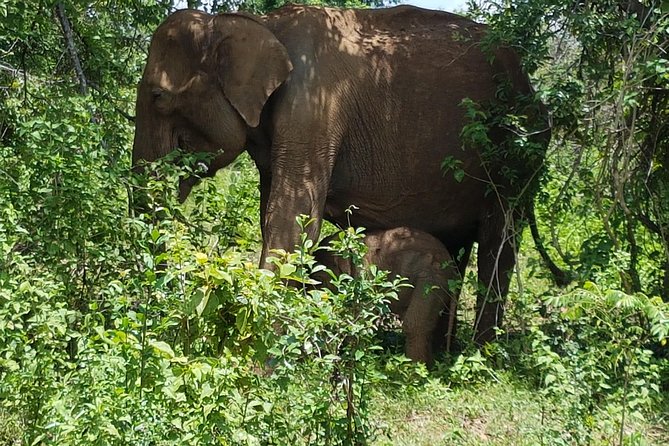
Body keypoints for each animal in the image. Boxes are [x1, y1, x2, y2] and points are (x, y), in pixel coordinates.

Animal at [132, 4, 550, 344]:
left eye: (158, 96)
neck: (257, 23)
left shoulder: (313, 110)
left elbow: (292, 220)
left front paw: (255, 354)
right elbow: (272, 216)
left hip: (518, 152)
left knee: (498, 243)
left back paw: (479, 352)